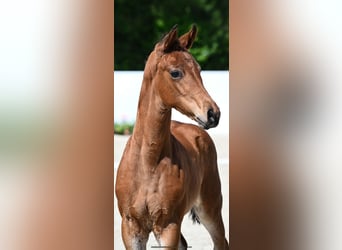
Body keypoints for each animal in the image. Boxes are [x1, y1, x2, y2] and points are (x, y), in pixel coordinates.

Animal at [115, 24, 230, 248]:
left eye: (199, 70)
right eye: (175, 72)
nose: (213, 114)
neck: (148, 163)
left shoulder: (168, 225)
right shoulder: (130, 227)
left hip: (210, 208)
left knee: (221, 241)